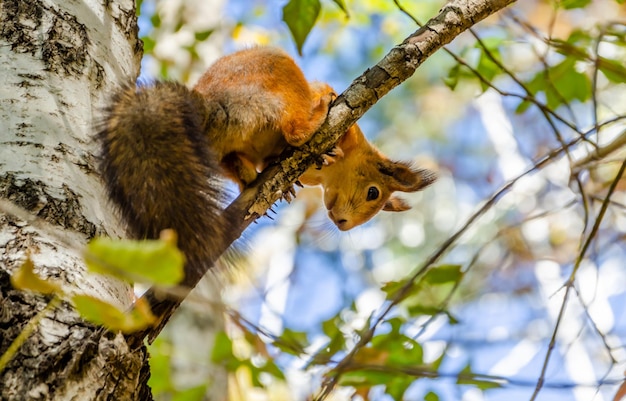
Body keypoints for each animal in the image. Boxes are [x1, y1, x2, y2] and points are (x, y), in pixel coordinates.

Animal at [96, 45, 434, 336]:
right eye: (373, 193)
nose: (342, 223)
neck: (329, 174)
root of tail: (211, 104)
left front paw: (286, 185)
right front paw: (327, 126)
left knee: (236, 160)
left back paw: (253, 179)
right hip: (275, 80)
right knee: (295, 129)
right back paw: (315, 117)